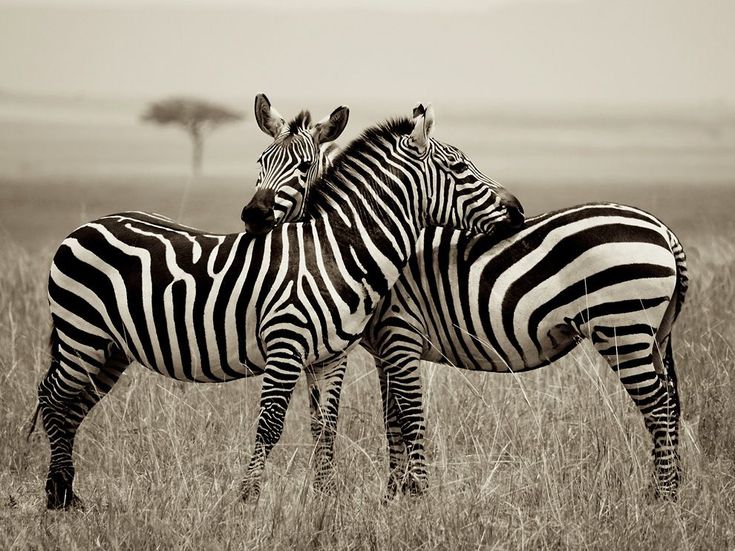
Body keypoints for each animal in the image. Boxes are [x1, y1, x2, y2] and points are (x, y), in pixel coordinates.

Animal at [28, 102, 524, 508]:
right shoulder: (285, 346)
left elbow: (326, 426)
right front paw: (247, 500)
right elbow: (269, 426)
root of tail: (89, 224)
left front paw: (325, 499)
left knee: (73, 405)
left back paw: (69, 492)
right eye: (459, 166)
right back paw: (57, 496)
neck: (335, 252)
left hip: (111, 348)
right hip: (81, 334)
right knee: (52, 396)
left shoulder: (330, 356)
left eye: (303, 166)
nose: (518, 210)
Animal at [249, 97, 688, 502]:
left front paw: (414, 496)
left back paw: (663, 498)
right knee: (669, 402)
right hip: (651, 334)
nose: (253, 216)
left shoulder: (400, 332)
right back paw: (666, 490)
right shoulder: (383, 350)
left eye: (304, 167)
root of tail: (663, 230)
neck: (358, 244)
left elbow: (407, 417)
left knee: (658, 406)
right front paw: (394, 495)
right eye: (260, 162)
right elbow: (391, 419)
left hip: (621, 327)